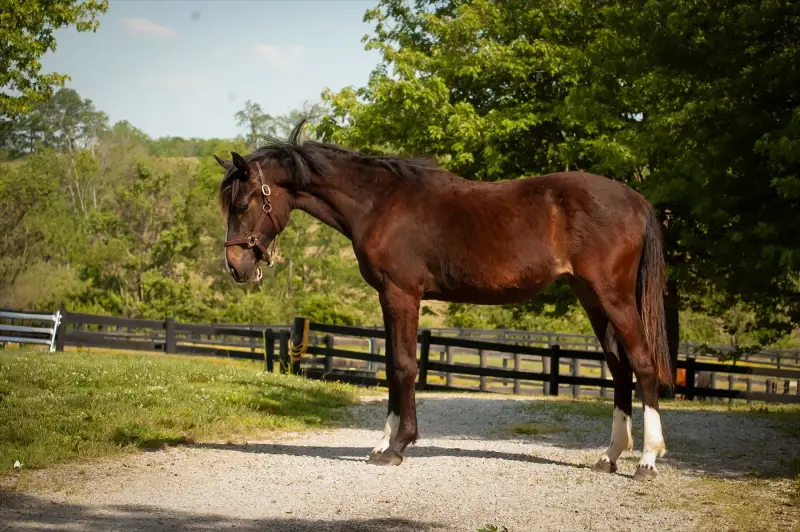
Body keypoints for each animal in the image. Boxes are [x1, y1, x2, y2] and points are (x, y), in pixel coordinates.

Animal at [215, 119, 672, 481]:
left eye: (244, 203)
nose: (236, 266)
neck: (380, 203)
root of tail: (636, 201)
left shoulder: (402, 293)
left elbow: (404, 366)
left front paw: (398, 447)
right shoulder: (388, 296)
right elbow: (390, 366)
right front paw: (383, 444)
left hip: (614, 298)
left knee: (643, 364)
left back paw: (647, 461)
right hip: (591, 298)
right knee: (619, 369)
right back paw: (609, 457)